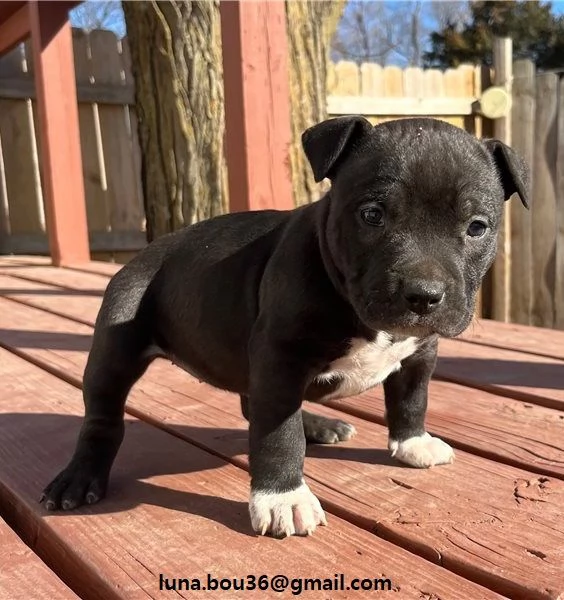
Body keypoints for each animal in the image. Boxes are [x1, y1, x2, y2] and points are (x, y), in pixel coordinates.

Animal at [43, 115, 528, 536]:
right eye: (372, 215)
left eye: (477, 227)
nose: (424, 295)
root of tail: (144, 252)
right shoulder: (280, 357)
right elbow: (277, 434)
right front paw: (283, 498)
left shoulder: (418, 356)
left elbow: (412, 399)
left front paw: (413, 442)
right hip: (116, 344)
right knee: (104, 416)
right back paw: (79, 478)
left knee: (252, 403)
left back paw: (317, 424)